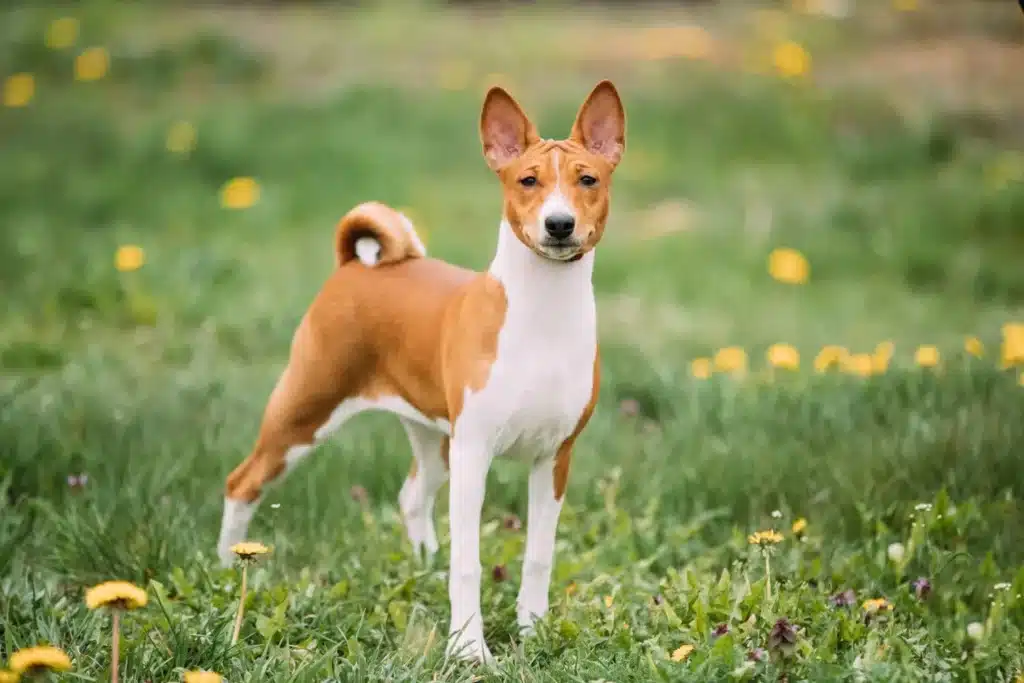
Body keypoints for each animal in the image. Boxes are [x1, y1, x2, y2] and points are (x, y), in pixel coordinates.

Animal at [216, 80, 622, 663]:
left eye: (587, 180)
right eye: (528, 180)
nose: (559, 224)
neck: (542, 315)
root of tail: (355, 266)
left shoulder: (553, 458)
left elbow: (539, 557)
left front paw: (533, 632)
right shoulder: (476, 453)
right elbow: (468, 563)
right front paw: (469, 649)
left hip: (434, 438)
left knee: (412, 495)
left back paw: (424, 565)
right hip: (305, 412)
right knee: (242, 483)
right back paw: (228, 570)